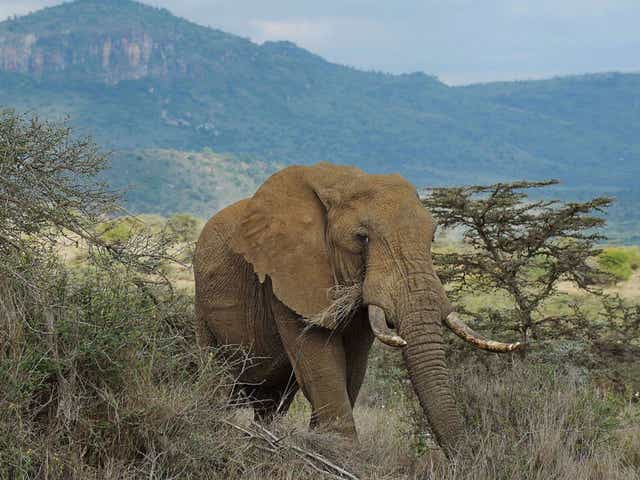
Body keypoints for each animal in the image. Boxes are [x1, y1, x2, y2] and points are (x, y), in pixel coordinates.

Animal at [194, 162, 521, 456]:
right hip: (203, 311)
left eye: (431, 237)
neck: (341, 182)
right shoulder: (286, 274)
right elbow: (321, 361)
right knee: (217, 378)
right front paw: (342, 455)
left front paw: (325, 447)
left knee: (274, 400)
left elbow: (353, 362)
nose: (466, 456)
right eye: (362, 238)